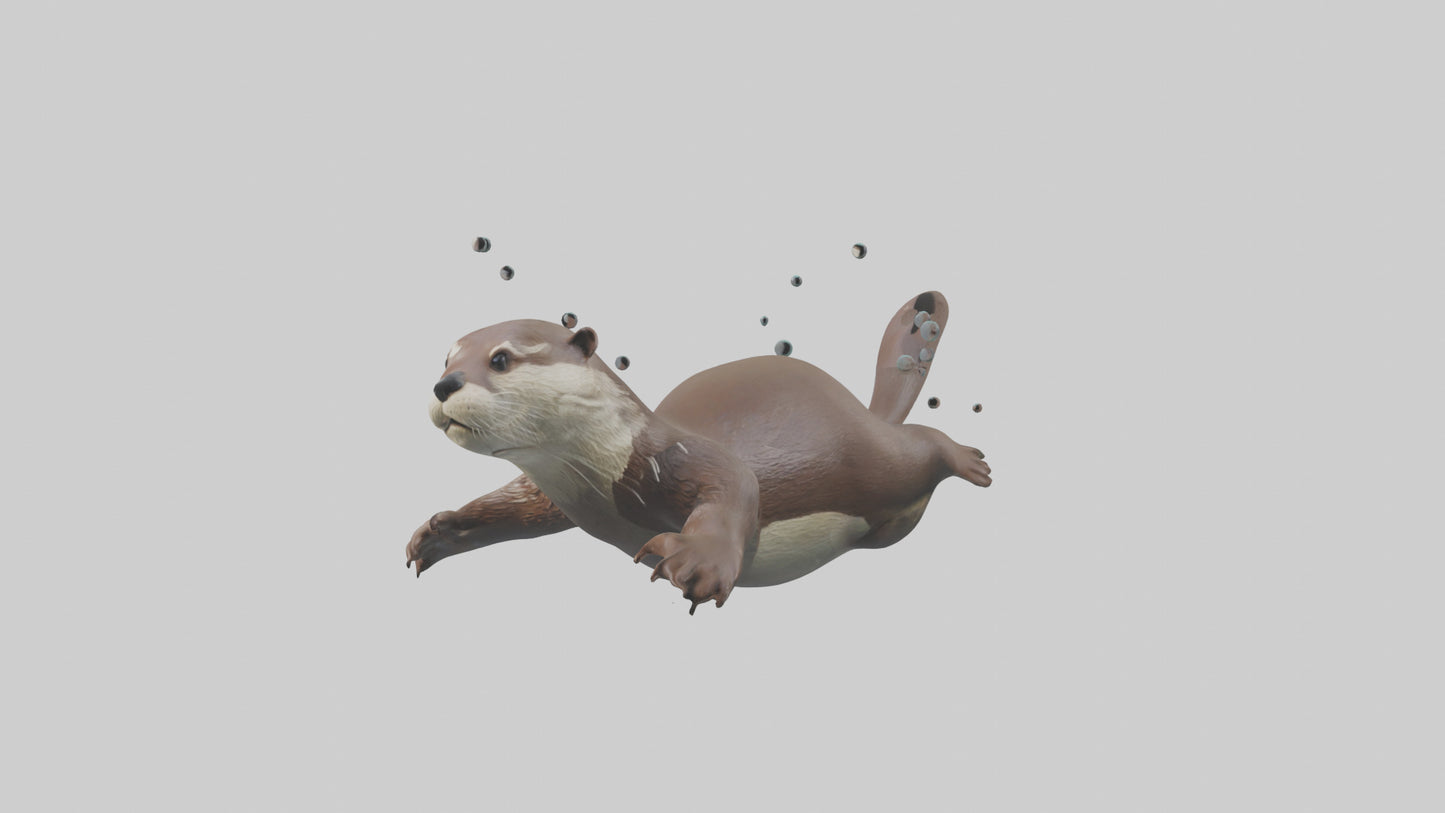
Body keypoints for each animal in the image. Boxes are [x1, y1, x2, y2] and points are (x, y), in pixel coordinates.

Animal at [406, 291, 992, 613]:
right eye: (446, 358)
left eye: (501, 359)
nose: (443, 385)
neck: (614, 464)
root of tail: (862, 410)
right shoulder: (559, 490)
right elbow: (516, 507)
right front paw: (441, 530)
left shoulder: (677, 456)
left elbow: (735, 483)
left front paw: (695, 561)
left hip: (873, 460)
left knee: (919, 448)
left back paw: (972, 461)